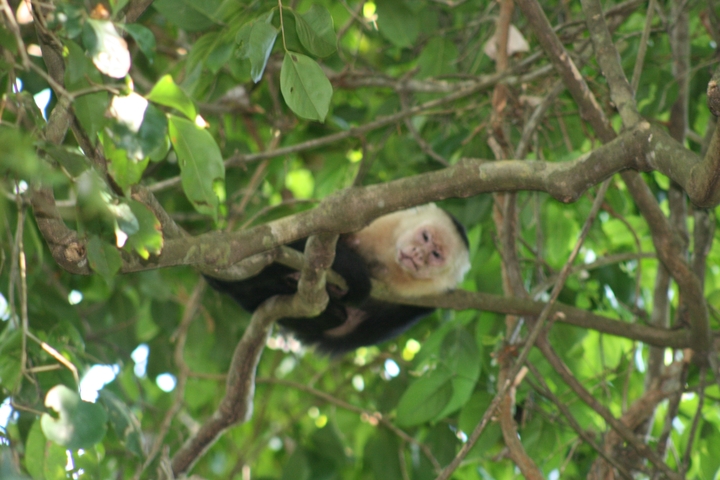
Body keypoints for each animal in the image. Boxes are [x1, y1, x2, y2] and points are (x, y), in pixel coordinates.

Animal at [204, 203, 471, 355]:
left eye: (436, 255)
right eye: (425, 237)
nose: (418, 255)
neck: (388, 260)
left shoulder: (430, 298)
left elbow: (346, 329)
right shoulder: (376, 222)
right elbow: (310, 238)